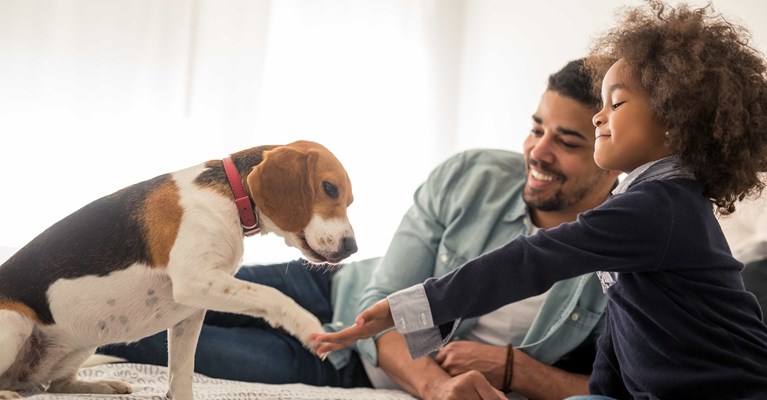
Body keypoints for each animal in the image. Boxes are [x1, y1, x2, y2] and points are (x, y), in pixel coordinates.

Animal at [0, 141, 356, 400]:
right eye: (329, 188)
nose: (352, 247)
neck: (232, 194)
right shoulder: (194, 281)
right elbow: (273, 295)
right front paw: (308, 326)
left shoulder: (191, 310)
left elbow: (182, 371)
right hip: (15, 322)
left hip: (83, 339)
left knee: (56, 385)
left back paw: (103, 386)